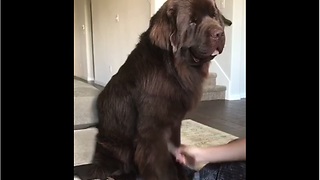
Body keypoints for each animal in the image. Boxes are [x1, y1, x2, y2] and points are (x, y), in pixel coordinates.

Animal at [90, 0, 232, 179]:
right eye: (192, 22)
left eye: (213, 16)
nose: (219, 33)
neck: (173, 68)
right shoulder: (153, 131)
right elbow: (162, 165)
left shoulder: (174, 124)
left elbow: (175, 154)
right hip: (115, 148)